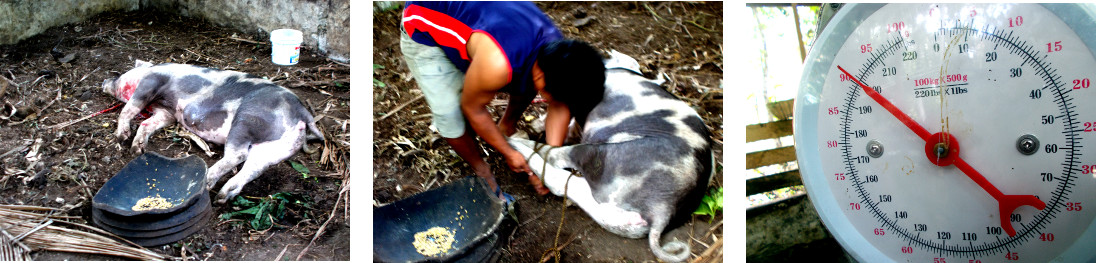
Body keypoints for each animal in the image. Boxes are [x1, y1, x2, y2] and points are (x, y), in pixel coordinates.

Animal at [101, 60, 324, 204]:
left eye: (121, 75)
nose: (104, 81)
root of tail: (302, 112)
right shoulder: (168, 113)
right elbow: (148, 124)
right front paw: (137, 150)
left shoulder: (152, 82)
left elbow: (129, 108)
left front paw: (121, 137)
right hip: (277, 147)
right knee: (254, 168)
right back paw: (221, 198)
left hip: (246, 119)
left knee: (238, 155)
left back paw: (206, 183)